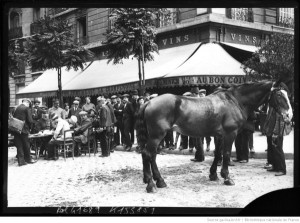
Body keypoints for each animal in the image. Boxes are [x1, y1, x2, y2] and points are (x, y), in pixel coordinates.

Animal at [137, 79, 292, 193]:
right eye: (279, 95)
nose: (289, 116)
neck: (234, 101)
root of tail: (149, 102)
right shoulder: (230, 133)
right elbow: (226, 154)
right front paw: (227, 177)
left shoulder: (219, 135)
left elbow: (218, 154)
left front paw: (213, 174)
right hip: (157, 136)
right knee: (147, 154)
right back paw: (151, 184)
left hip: (157, 136)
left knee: (152, 156)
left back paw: (159, 181)